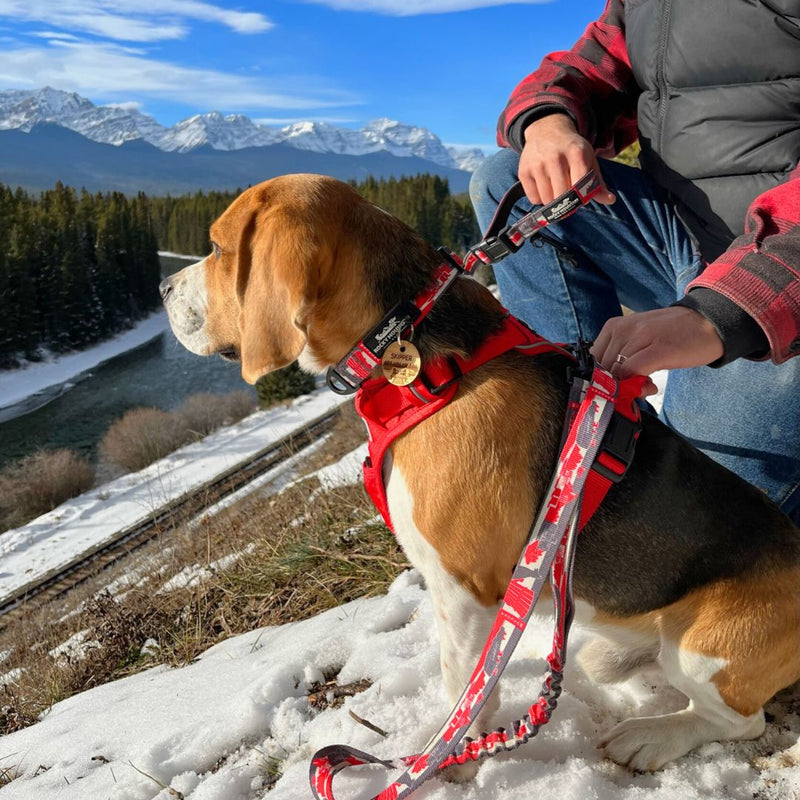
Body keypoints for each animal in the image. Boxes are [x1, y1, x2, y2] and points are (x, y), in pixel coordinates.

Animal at [161, 172, 800, 772]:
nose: (163, 287)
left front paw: (449, 761)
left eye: (216, 248)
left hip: (703, 651)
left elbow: (463, 688)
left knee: (736, 721)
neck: (409, 342)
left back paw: (650, 735)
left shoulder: (464, 587)